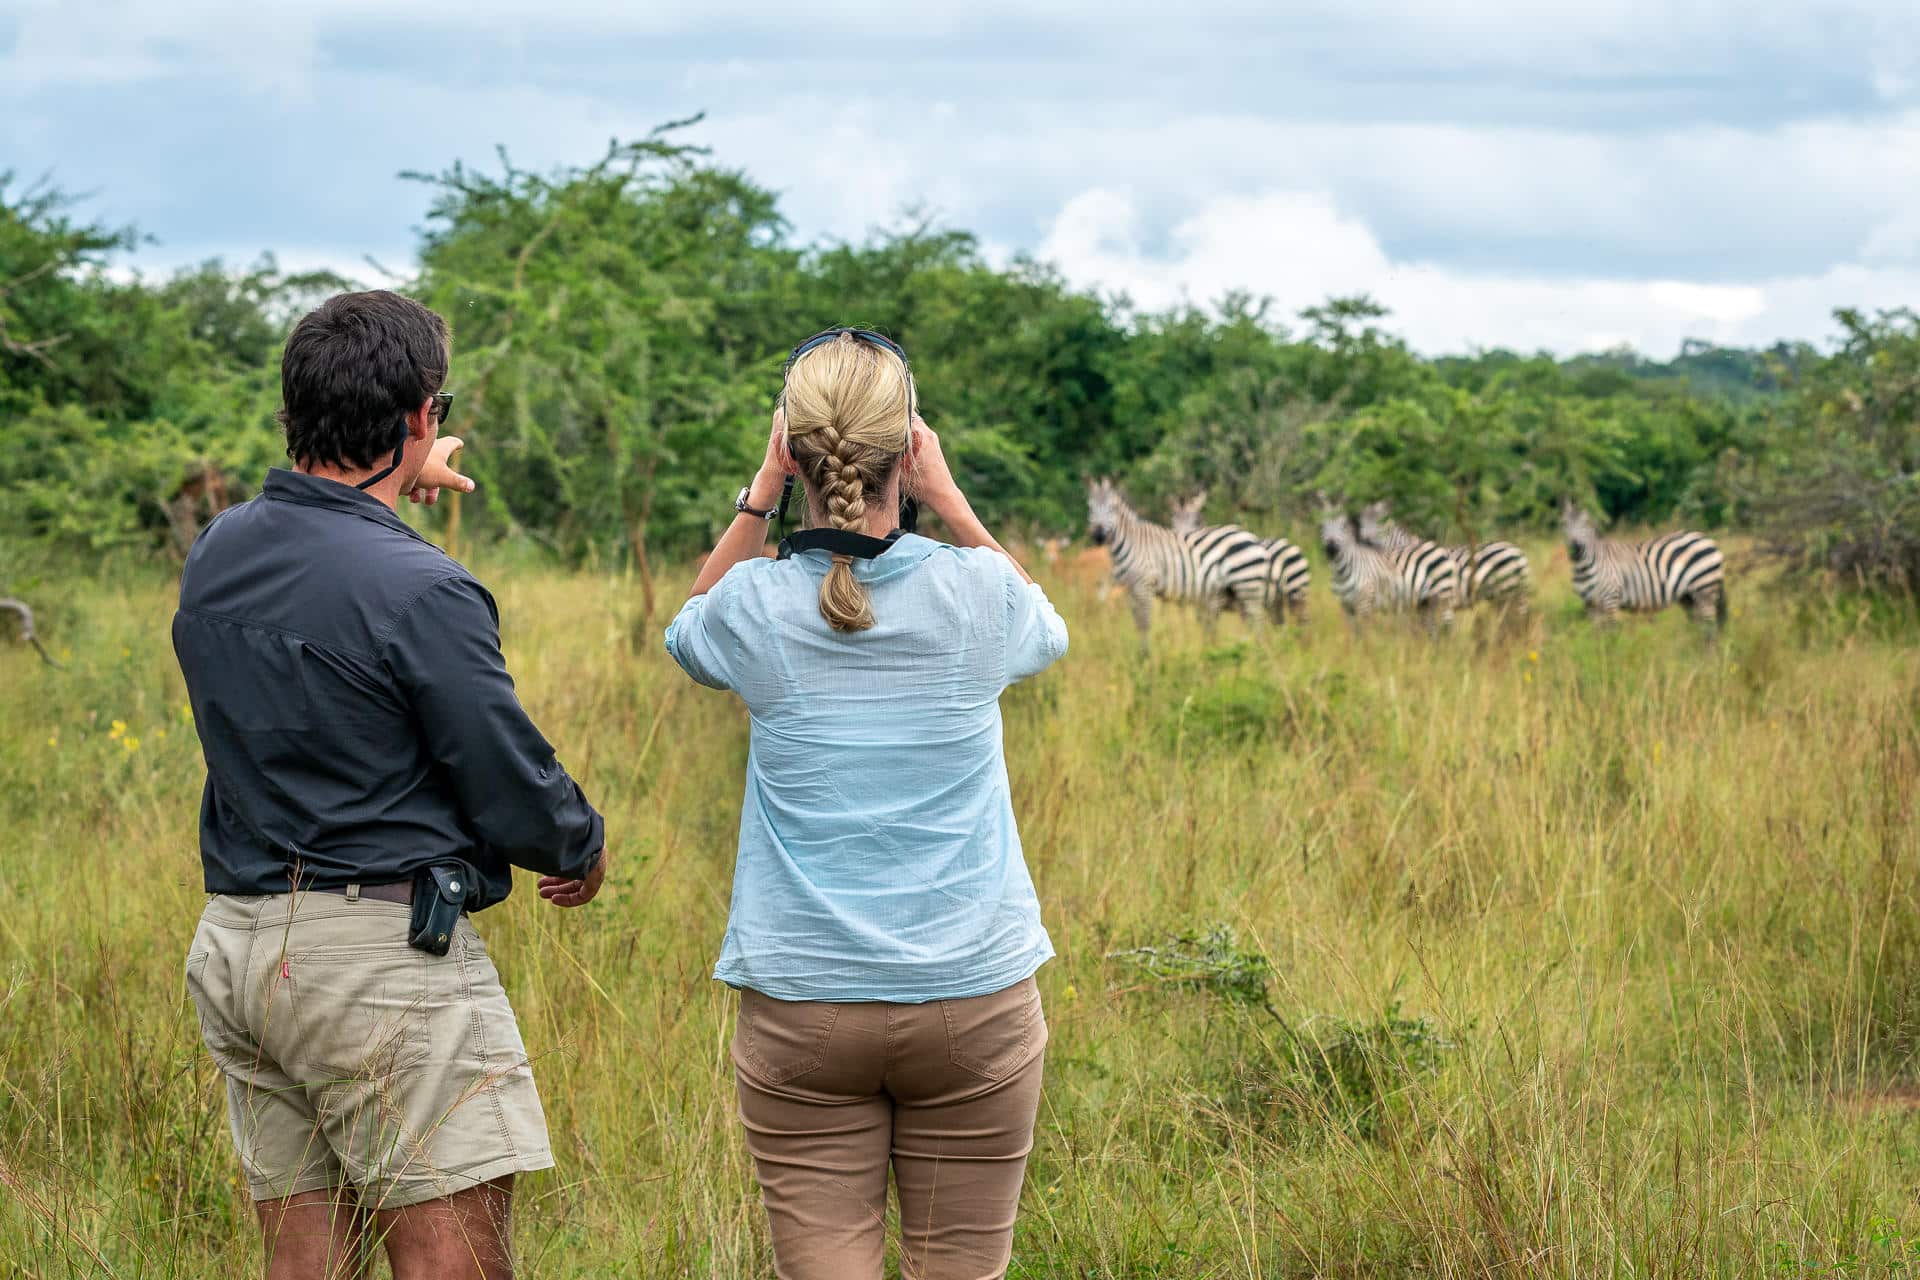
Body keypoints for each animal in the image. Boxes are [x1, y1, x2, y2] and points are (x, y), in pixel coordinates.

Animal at [1090, 477, 1267, 656]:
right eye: (1090, 508)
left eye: (1112, 508)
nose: (1098, 536)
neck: (1131, 543)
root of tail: (1251, 537)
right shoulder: (1130, 588)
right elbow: (1139, 622)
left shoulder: (1144, 583)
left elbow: (1146, 622)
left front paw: (1146, 655)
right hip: (1238, 592)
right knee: (1250, 623)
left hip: (1247, 585)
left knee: (1257, 623)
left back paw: (1257, 653)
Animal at [1159, 491, 1313, 625]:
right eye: (1172, 521)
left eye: (1197, 521)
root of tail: (1287, 542)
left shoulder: (1214, 602)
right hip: (1276, 603)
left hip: (1297, 593)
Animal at [1559, 506, 1728, 637]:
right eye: (1564, 524)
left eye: (1585, 525)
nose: (1575, 548)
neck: (1583, 567)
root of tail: (1706, 538)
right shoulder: (1590, 605)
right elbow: (1597, 636)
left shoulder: (1610, 598)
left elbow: (1611, 634)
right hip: (1688, 596)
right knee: (1701, 627)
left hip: (1704, 587)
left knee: (1710, 629)